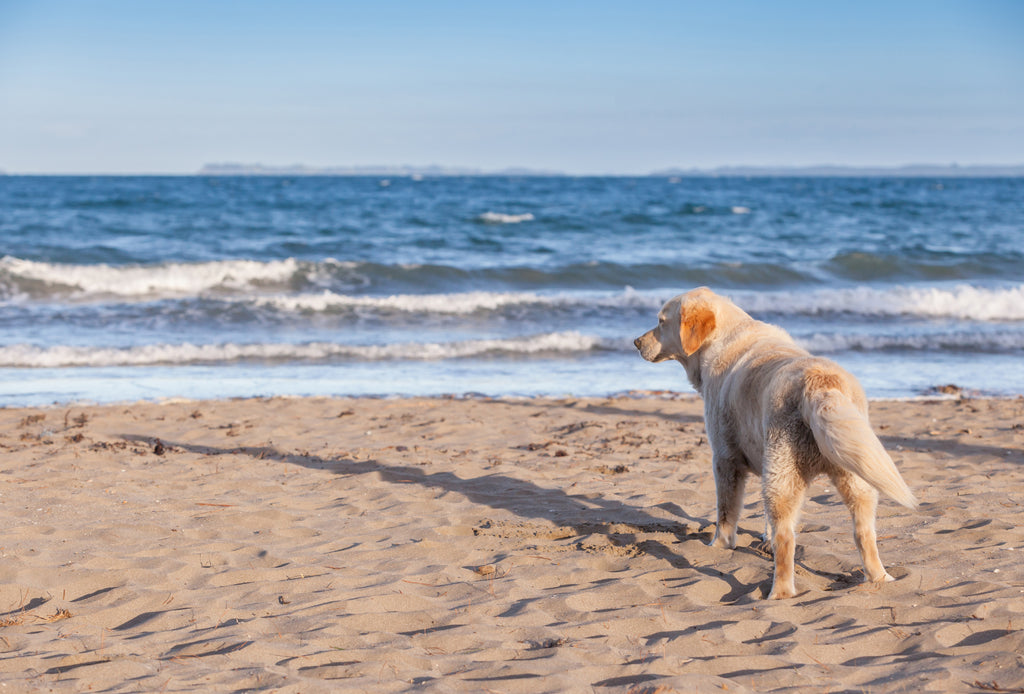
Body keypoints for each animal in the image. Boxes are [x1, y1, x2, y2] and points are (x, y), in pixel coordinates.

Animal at [634, 284, 917, 601]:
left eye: (660, 322)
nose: (635, 342)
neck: (724, 338)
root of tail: (819, 383)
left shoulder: (725, 458)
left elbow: (726, 513)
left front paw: (719, 545)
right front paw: (762, 538)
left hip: (783, 471)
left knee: (787, 539)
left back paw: (779, 593)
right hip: (855, 470)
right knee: (864, 532)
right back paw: (880, 577)